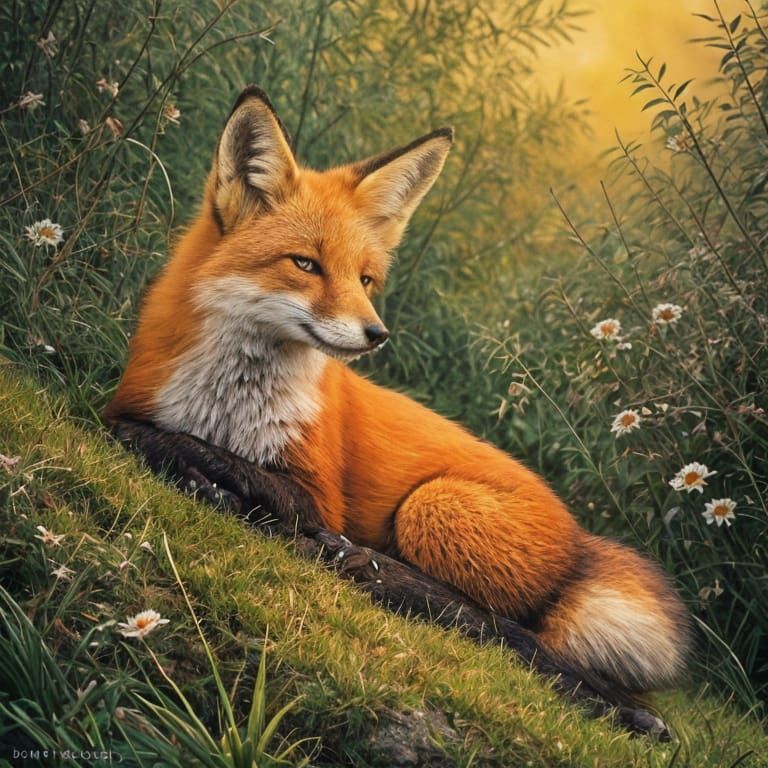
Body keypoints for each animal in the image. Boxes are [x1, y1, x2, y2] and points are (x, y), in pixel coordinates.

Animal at [105, 85, 690, 696]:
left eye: (365, 280)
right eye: (305, 264)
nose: (376, 333)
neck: (229, 404)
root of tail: (582, 540)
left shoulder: (316, 495)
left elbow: (210, 455)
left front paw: (213, 480)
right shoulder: (139, 402)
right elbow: (163, 435)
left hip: (430, 507)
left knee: (494, 616)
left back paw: (366, 562)